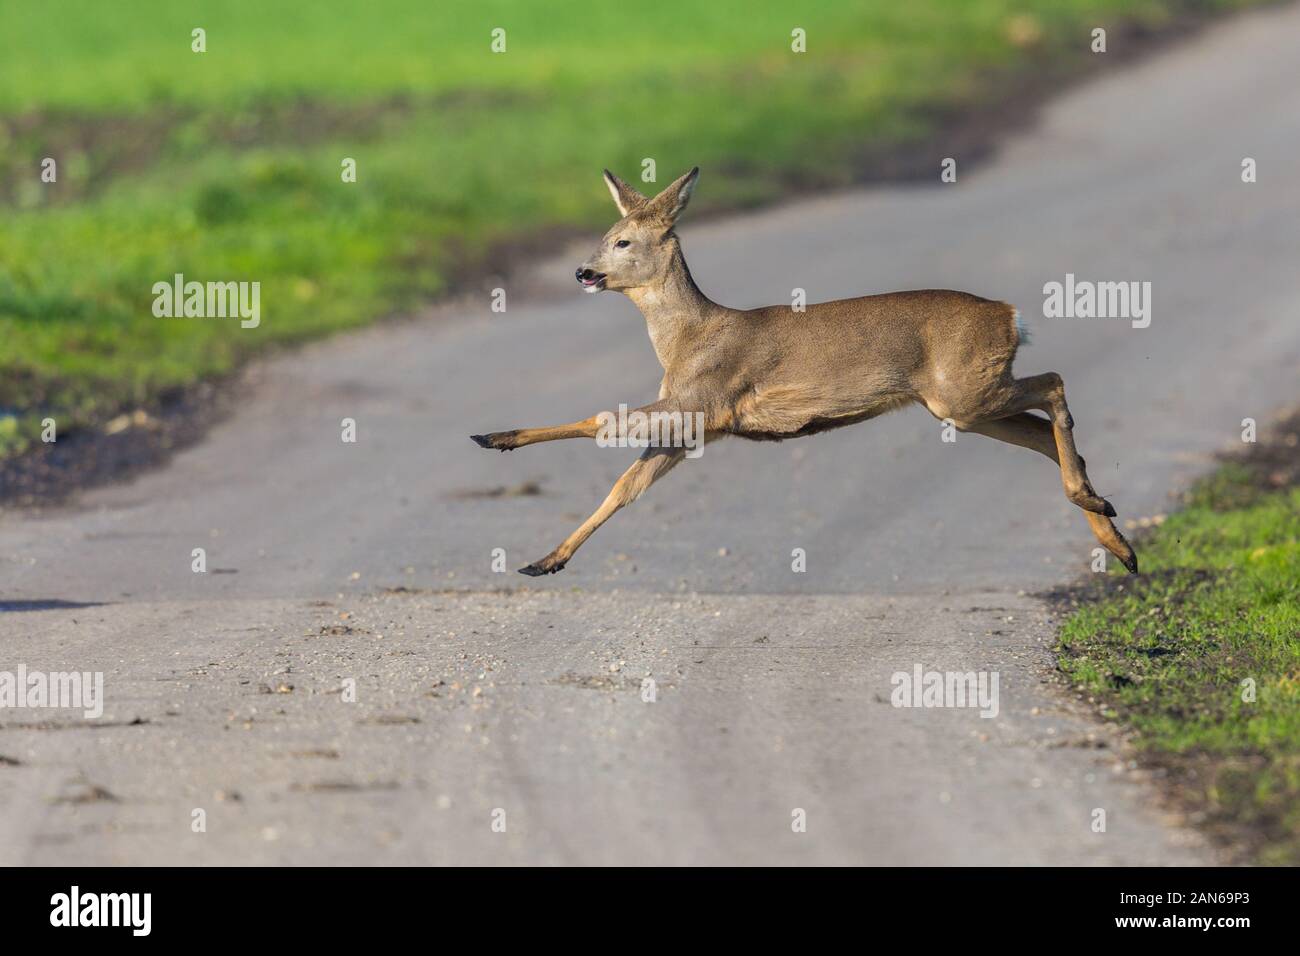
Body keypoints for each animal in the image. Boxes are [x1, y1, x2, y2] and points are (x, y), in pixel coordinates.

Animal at [471, 167, 1138, 578]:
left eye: (624, 242)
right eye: (606, 236)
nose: (582, 272)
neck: (688, 339)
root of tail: (1009, 315)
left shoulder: (704, 399)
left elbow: (597, 421)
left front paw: (494, 436)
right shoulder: (695, 426)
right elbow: (625, 487)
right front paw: (545, 560)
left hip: (964, 390)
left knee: (1053, 385)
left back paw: (1098, 509)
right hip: (961, 403)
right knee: (1040, 428)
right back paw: (1115, 535)